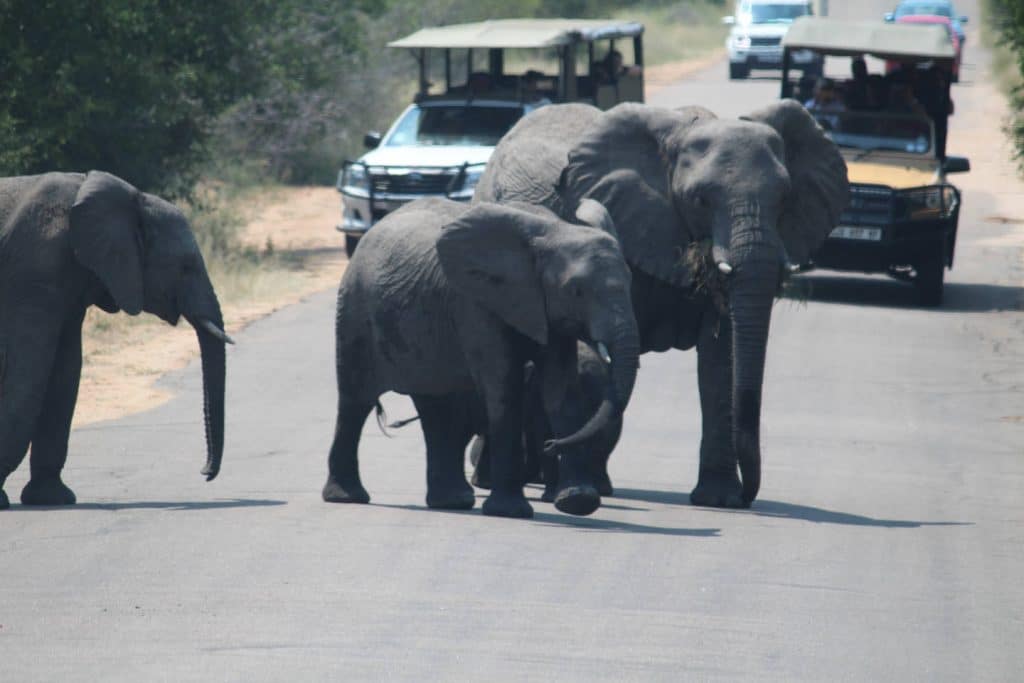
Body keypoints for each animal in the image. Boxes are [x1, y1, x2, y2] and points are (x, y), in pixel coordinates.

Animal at [0, 174, 231, 509]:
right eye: (185, 266)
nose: (205, 473)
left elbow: (66, 372)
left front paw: (52, 498)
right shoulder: (35, 272)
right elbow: (28, 374)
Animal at [323, 197, 634, 518]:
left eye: (632, 282)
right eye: (576, 291)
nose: (551, 444)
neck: (555, 230)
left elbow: (561, 389)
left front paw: (578, 503)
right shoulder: (474, 303)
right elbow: (503, 386)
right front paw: (510, 512)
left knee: (437, 408)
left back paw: (452, 503)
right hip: (354, 310)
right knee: (355, 402)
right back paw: (347, 497)